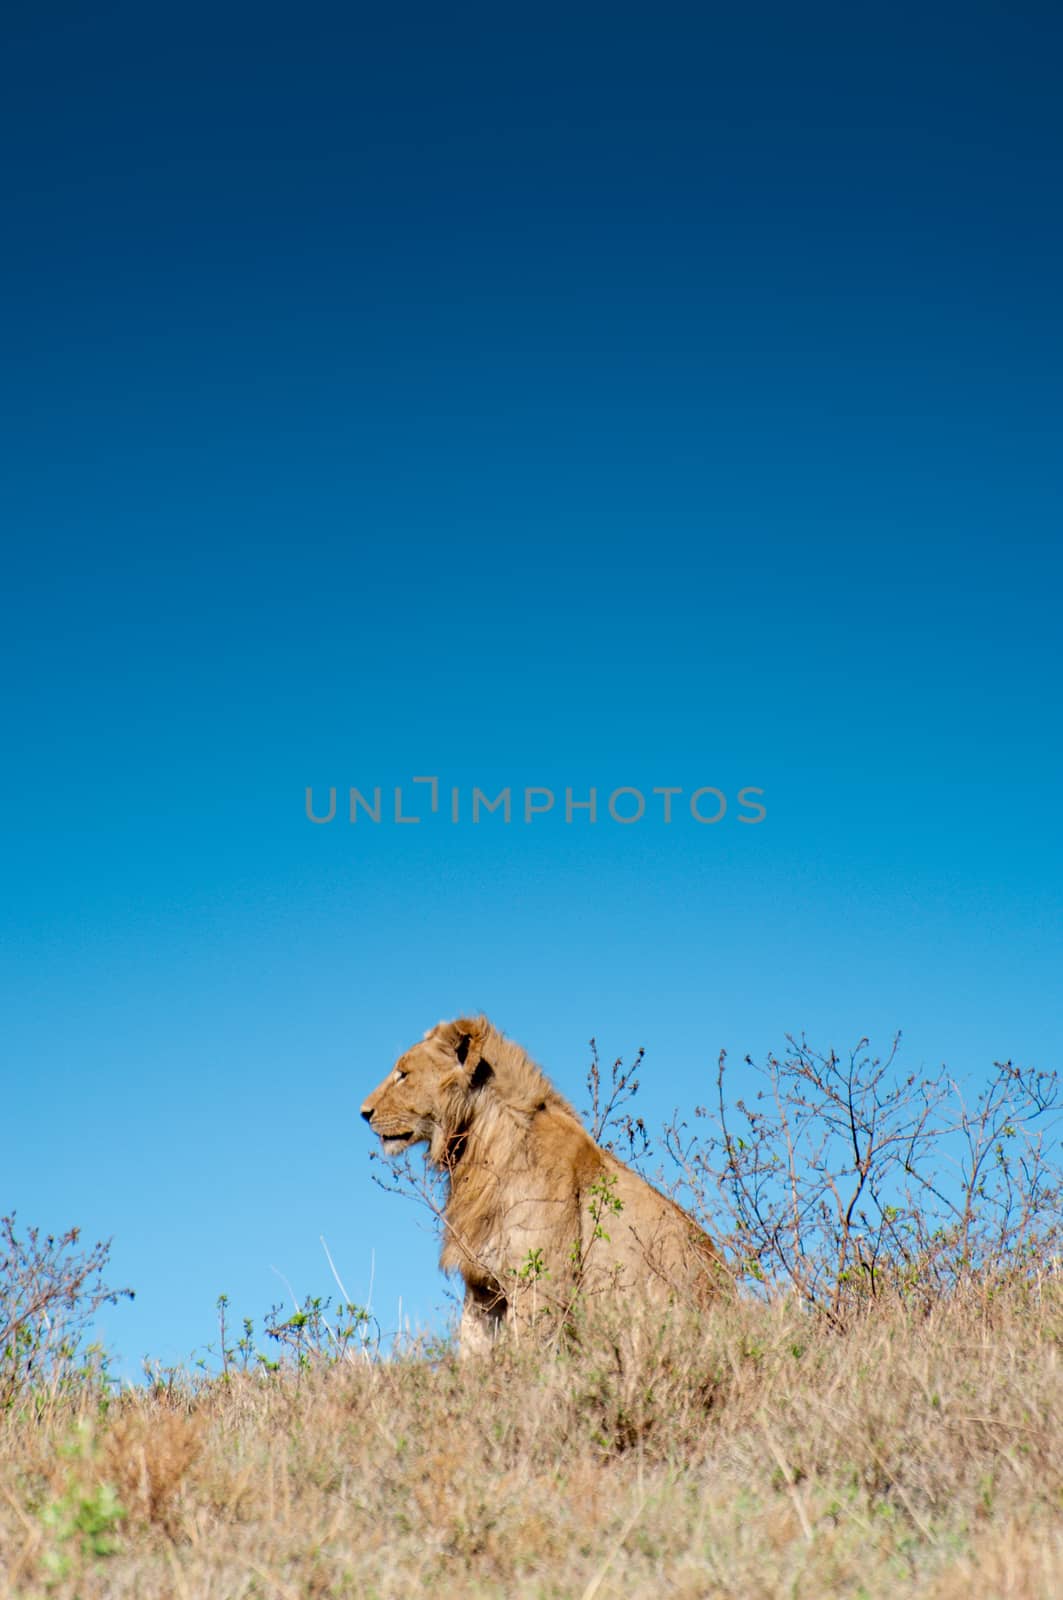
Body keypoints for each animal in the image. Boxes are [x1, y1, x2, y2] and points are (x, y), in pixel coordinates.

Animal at [361, 1011, 726, 1350]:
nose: (364, 1113)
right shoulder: (482, 1285)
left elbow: (530, 1351)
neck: (478, 1148)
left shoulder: (541, 1281)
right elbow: (472, 1351)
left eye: (403, 1075)